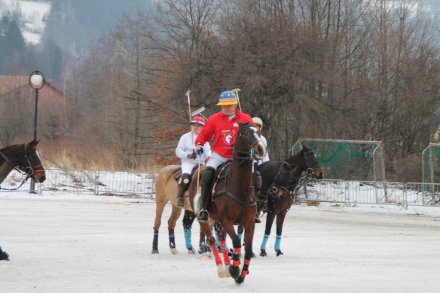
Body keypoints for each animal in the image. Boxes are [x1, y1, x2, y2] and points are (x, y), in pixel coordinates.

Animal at [192, 121, 266, 282]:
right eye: (244, 133)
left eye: (258, 132)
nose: (261, 149)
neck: (240, 186)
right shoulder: (227, 220)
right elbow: (237, 242)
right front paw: (234, 269)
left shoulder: (249, 222)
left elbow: (248, 249)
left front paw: (242, 274)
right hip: (206, 219)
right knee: (212, 240)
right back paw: (222, 268)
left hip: (218, 221)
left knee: (222, 240)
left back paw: (226, 266)